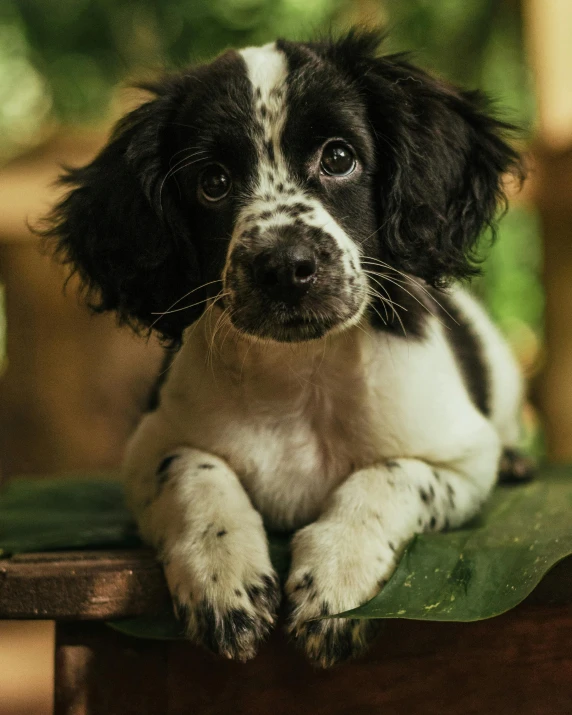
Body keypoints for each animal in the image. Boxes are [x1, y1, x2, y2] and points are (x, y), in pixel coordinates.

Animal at [43, 30, 528, 668]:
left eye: (339, 158)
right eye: (213, 183)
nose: (285, 267)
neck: (302, 375)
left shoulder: (462, 458)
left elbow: (388, 477)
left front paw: (339, 578)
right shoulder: (148, 448)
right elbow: (194, 471)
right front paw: (222, 576)